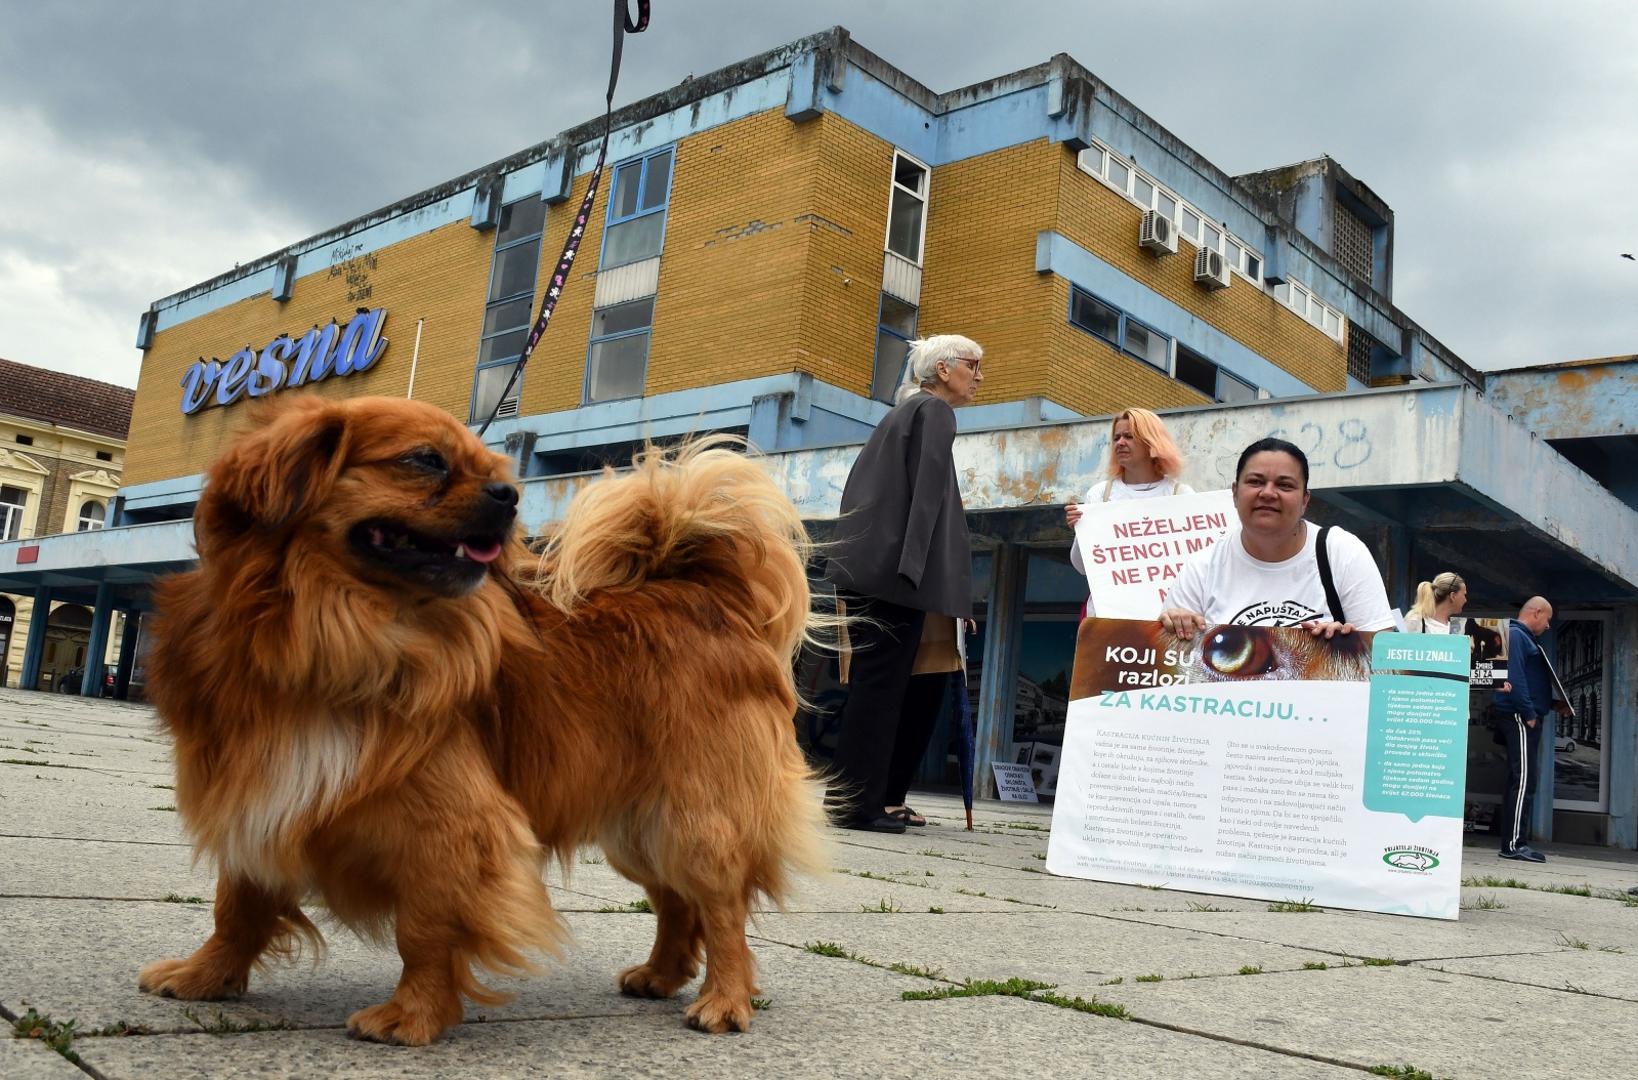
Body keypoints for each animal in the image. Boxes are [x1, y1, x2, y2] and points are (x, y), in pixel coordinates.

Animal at [139, 396, 825, 1048]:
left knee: (723, 907)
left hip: (695, 819)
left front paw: (412, 1016)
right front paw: (205, 977)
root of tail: (707, 594)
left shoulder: (452, 829)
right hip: (639, 829)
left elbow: (423, 929)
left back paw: (725, 1001)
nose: (510, 496)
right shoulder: (260, 790)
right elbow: (237, 904)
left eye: (496, 472)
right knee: (677, 902)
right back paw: (659, 976)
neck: (334, 630)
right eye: (426, 461)